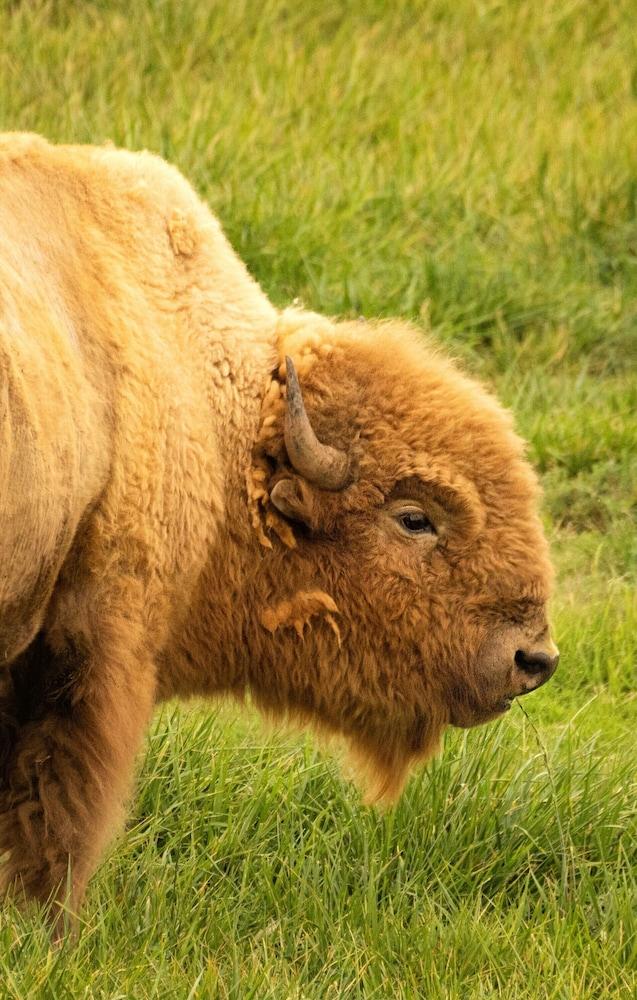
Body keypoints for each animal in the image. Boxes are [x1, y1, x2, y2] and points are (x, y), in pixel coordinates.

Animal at [0, 134, 558, 922]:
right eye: (414, 518)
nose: (532, 658)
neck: (221, 420)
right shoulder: (89, 653)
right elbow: (56, 819)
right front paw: (47, 929)